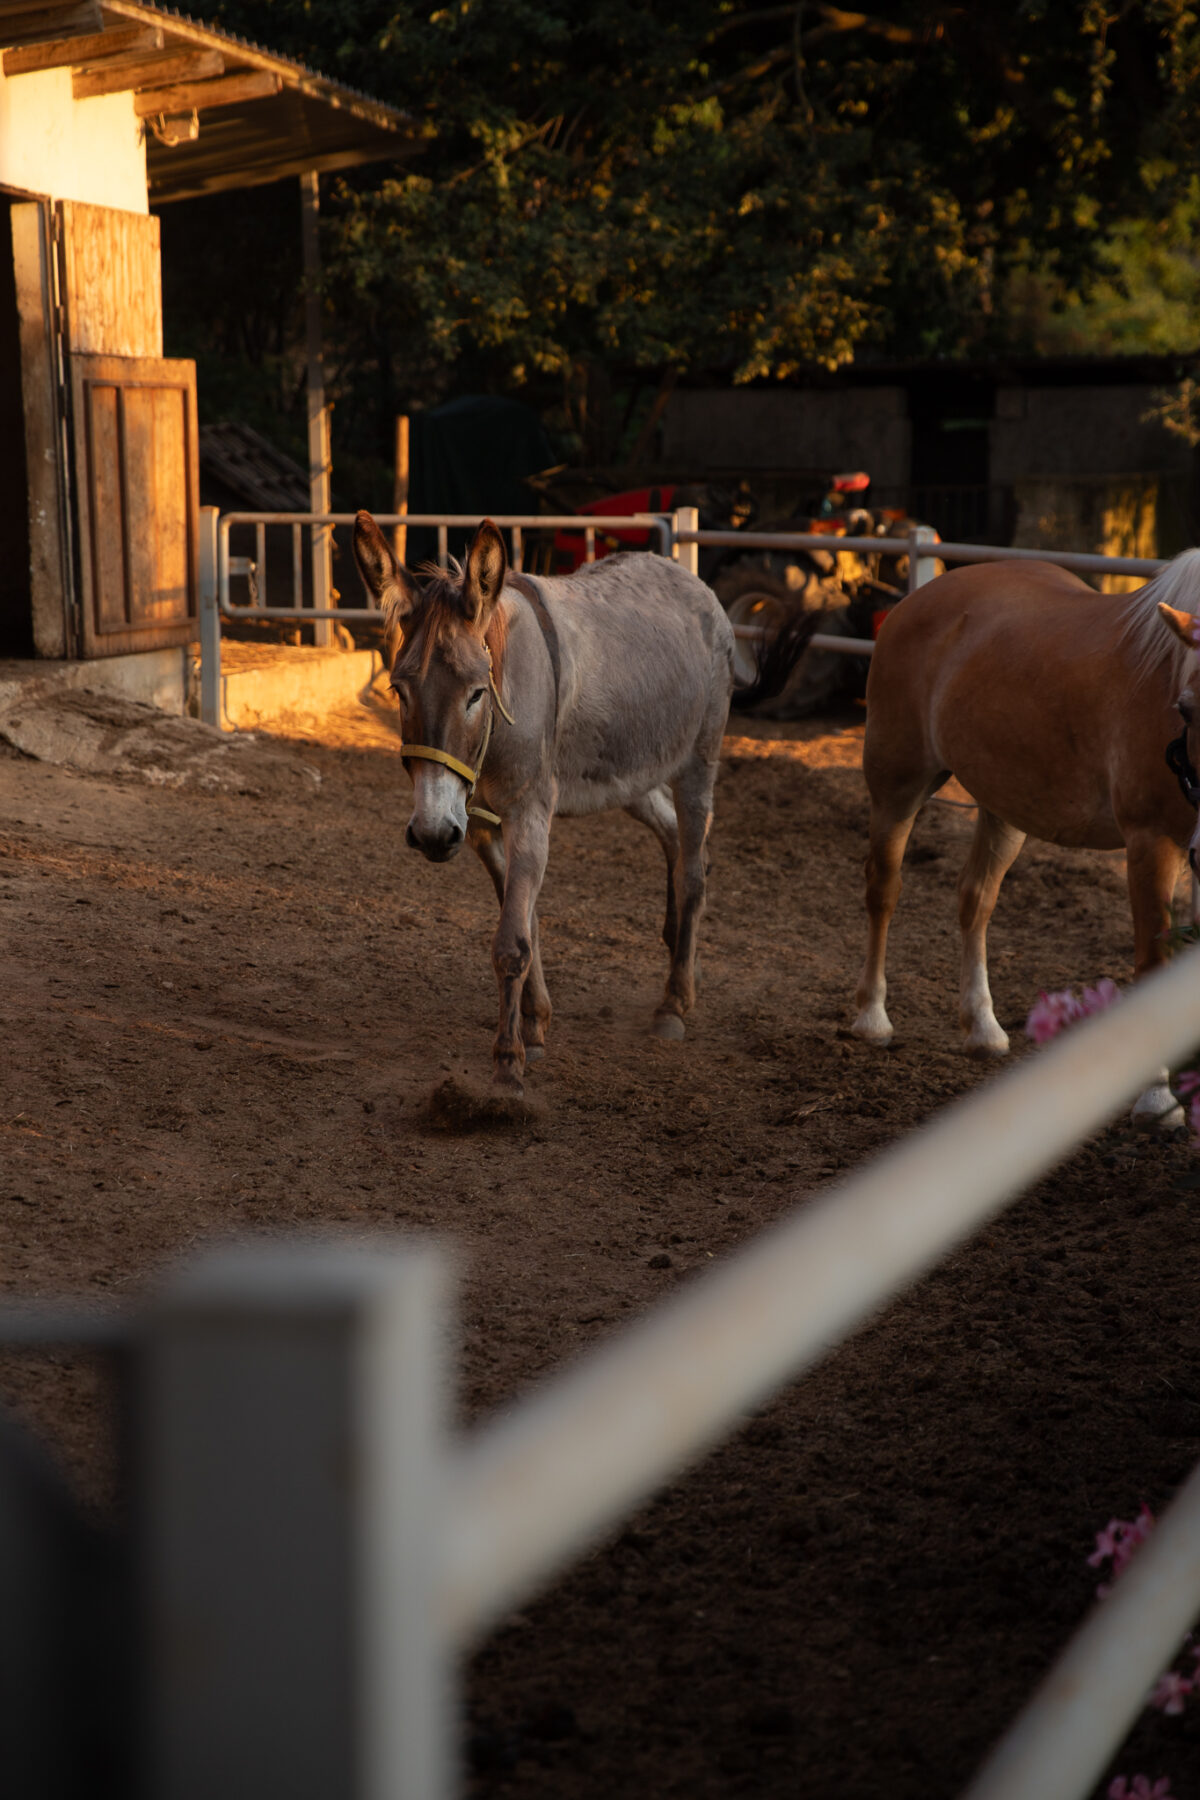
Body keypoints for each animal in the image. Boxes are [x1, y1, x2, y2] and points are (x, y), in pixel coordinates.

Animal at [849, 554, 1200, 1123]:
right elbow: (1153, 962)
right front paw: (1155, 1099)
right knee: (884, 890)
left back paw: (983, 1028)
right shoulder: (1151, 842)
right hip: (897, 784)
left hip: (1004, 807)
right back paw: (872, 1018)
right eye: (1187, 709)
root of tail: (915, 600)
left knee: (976, 901)